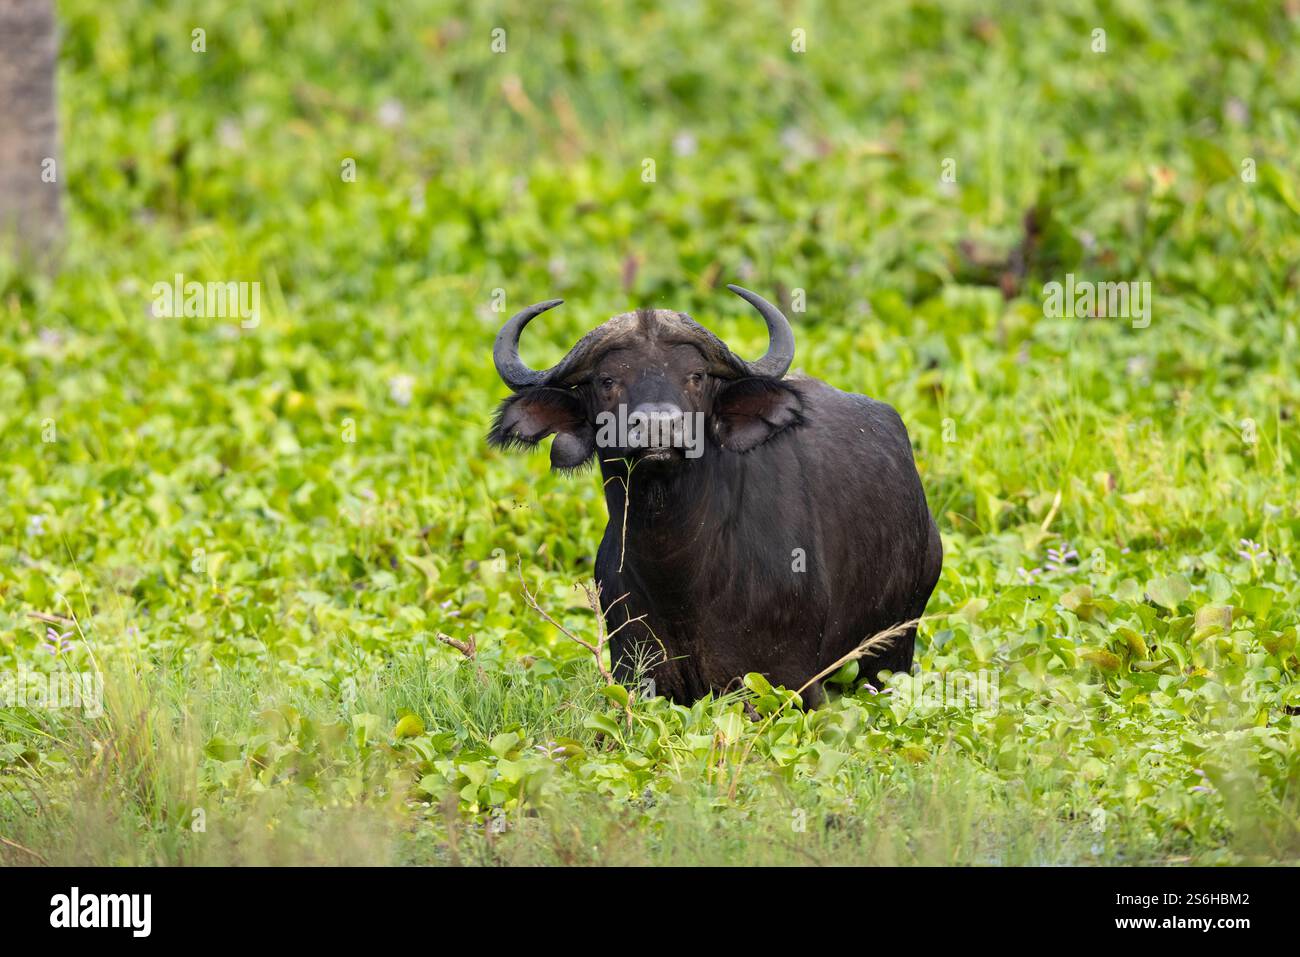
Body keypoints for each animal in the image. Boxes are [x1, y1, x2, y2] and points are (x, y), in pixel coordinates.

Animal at [489, 285, 942, 706]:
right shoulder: (637, 677)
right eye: (607, 380)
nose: (658, 426)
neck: (678, 575)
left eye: (695, 376)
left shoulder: (790, 686)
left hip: (892, 652)